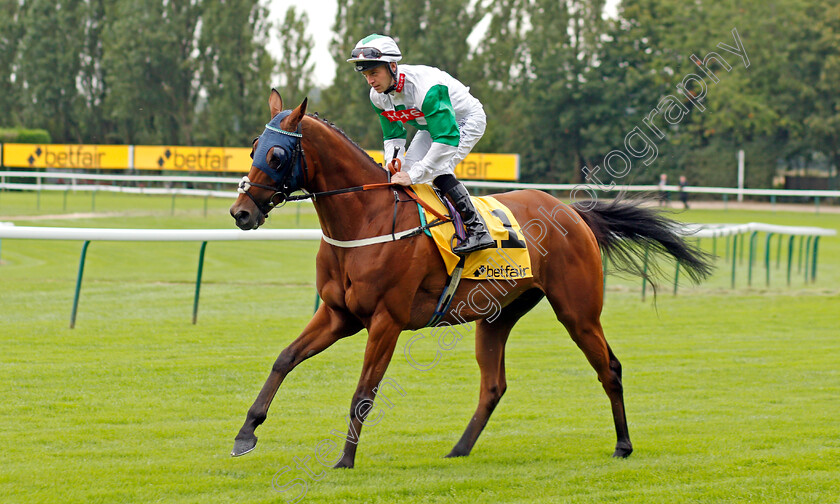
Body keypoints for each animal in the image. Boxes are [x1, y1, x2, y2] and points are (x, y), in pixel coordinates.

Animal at [226, 90, 712, 468]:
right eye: (252, 148)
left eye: (277, 154)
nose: (240, 213)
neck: (367, 219)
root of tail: (574, 212)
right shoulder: (337, 314)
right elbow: (284, 359)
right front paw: (246, 433)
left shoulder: (386, 321)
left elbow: (364, 391)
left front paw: (344, 459)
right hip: (497, 316)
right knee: (493, 385)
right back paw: (459, 449)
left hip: (578, 311)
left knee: (609, 367)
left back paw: (623, 445)